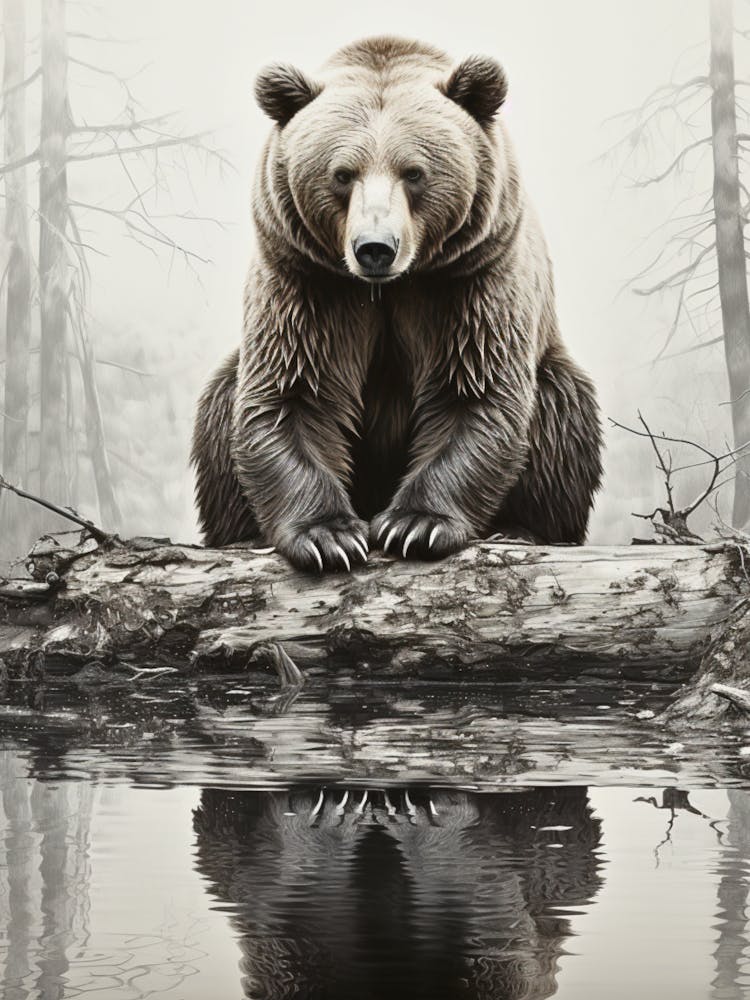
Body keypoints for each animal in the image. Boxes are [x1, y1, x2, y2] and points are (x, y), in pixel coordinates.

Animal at [192, 35, 603, 572]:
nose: (375, 247)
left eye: (414, 172)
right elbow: (292, 393)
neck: (389, 287)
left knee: (562, 411)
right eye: (342, 173)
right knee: (219, 407)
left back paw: (524, 529)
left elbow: (474, 391)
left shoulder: (468, 279)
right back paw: (240, 536)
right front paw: (329, 536)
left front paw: (416, 525)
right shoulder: (308, 282)